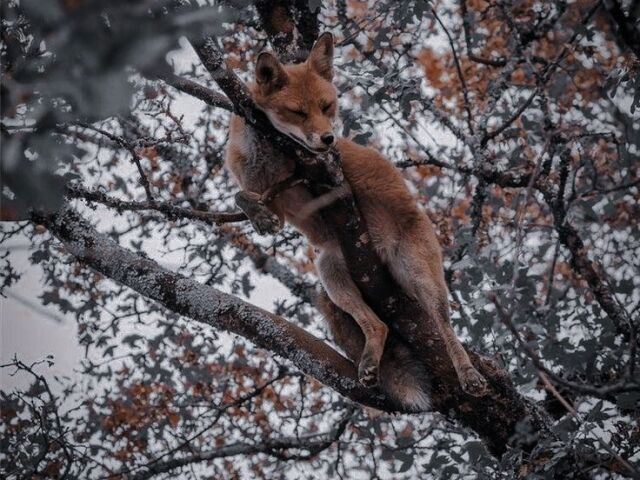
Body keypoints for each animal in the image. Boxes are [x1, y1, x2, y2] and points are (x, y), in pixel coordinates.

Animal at [224, 32, 484, 408]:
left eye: (327, 106)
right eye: (298, 112)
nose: (328, 139)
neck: (268, 155)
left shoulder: (312, 174)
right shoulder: (275, 200)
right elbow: (241, 197)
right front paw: (258, 219)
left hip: (422, 279)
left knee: (447, 330)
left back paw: (468, 374)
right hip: (332, 273)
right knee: (378, 326)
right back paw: (370, 363)